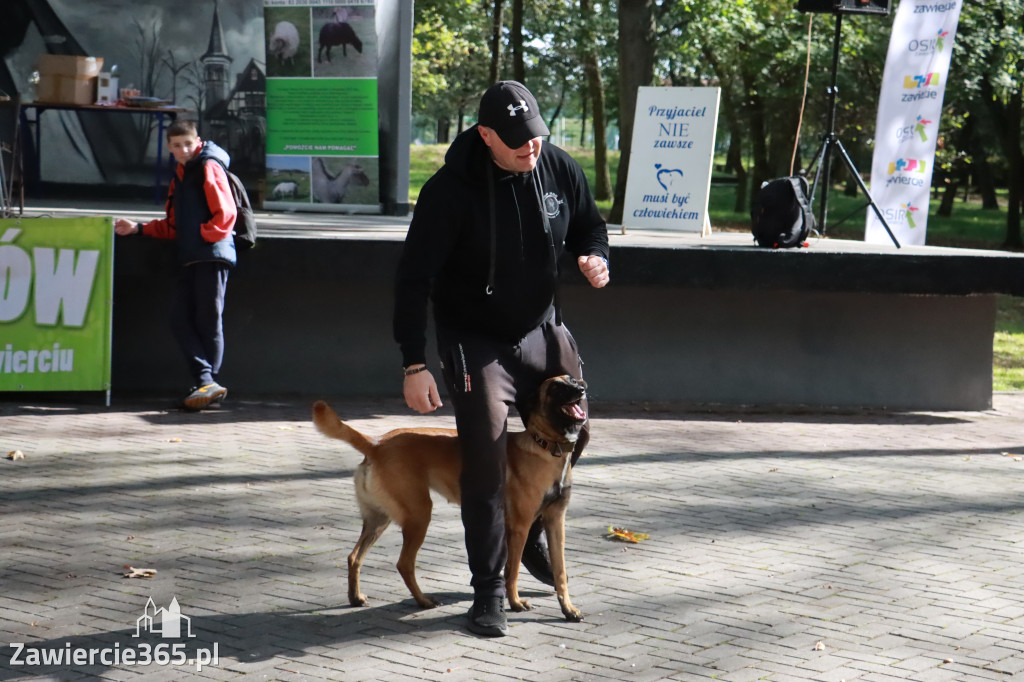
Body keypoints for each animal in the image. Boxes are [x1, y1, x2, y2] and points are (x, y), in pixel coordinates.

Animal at [311, 372, 589, 622]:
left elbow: (560, 571)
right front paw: (515, 603)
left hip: (379, 519)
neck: (545, 445)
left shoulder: (555, 522)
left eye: (572, 379)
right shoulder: (519, 526)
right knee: (404, 564)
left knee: (354, 557)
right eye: (555, 387)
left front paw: (568, 609)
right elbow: (512, 571)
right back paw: (423, 601)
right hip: (419, 515)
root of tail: (376, 443)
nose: (582, 387)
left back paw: (355, 597)